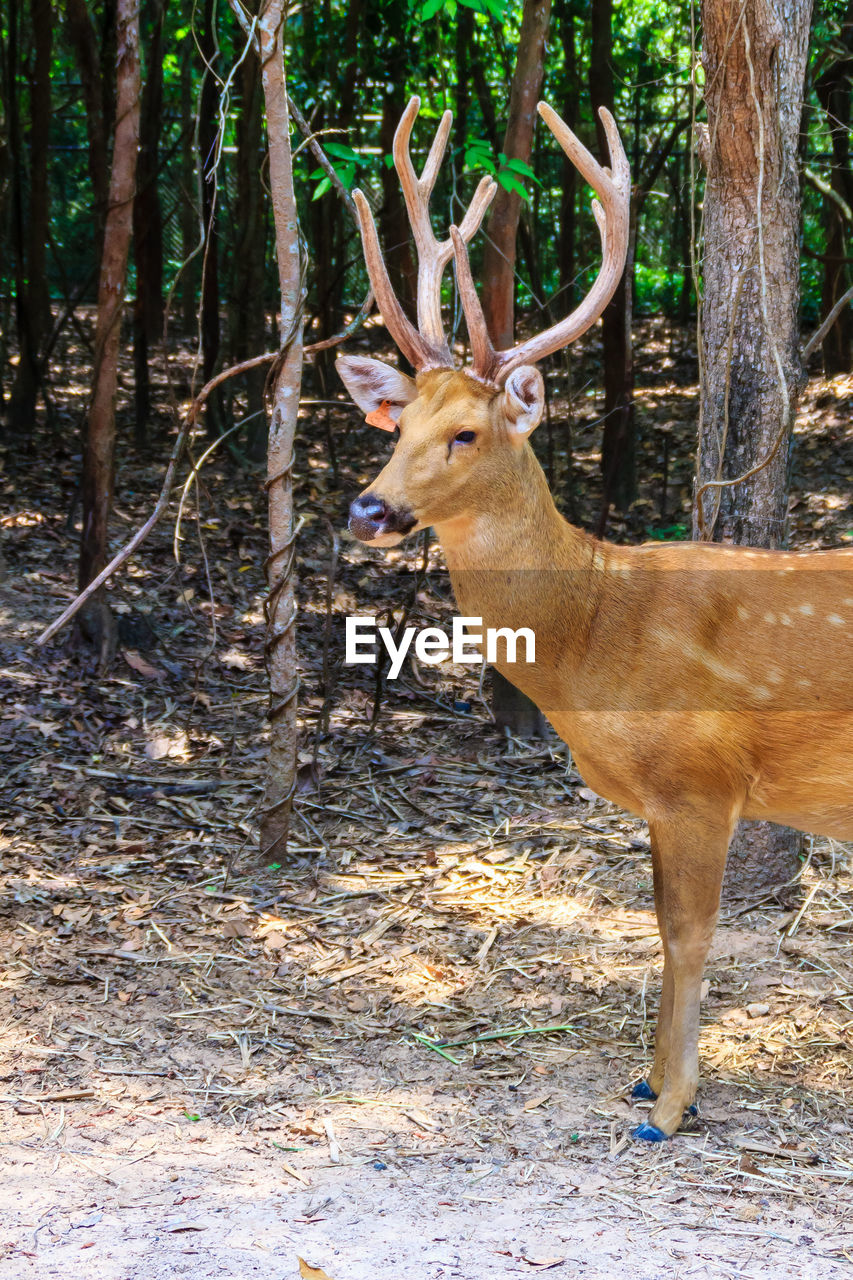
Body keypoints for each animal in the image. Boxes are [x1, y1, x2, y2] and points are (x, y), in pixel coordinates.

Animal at [333, 94, 850, 1146]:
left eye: (466, 433)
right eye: (397, 427)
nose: (370, 509)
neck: (596, 635)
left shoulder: (700, 777)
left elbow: (688, 934)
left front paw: (671, 1103)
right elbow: (659, 924)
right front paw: (648, 1083)